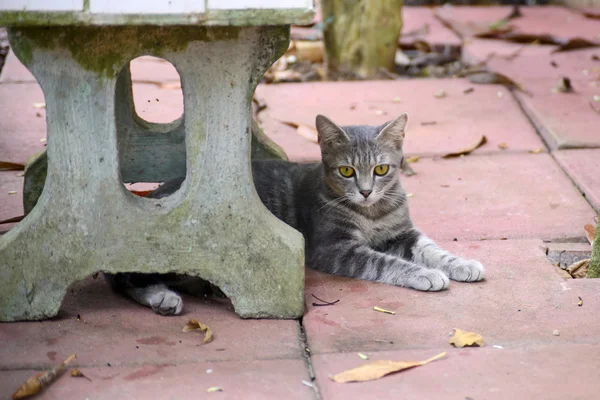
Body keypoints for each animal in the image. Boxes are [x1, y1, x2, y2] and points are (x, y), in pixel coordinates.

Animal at [106, 113, 482, 316]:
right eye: (346, 171)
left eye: (381, 169)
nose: (365, 191)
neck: (371, 212)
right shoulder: (335, 249)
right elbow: (386, 262)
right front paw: (424, 274)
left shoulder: (401, 232)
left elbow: (432, 249)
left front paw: (461, 264)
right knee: (122, 276)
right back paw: (162, 296)